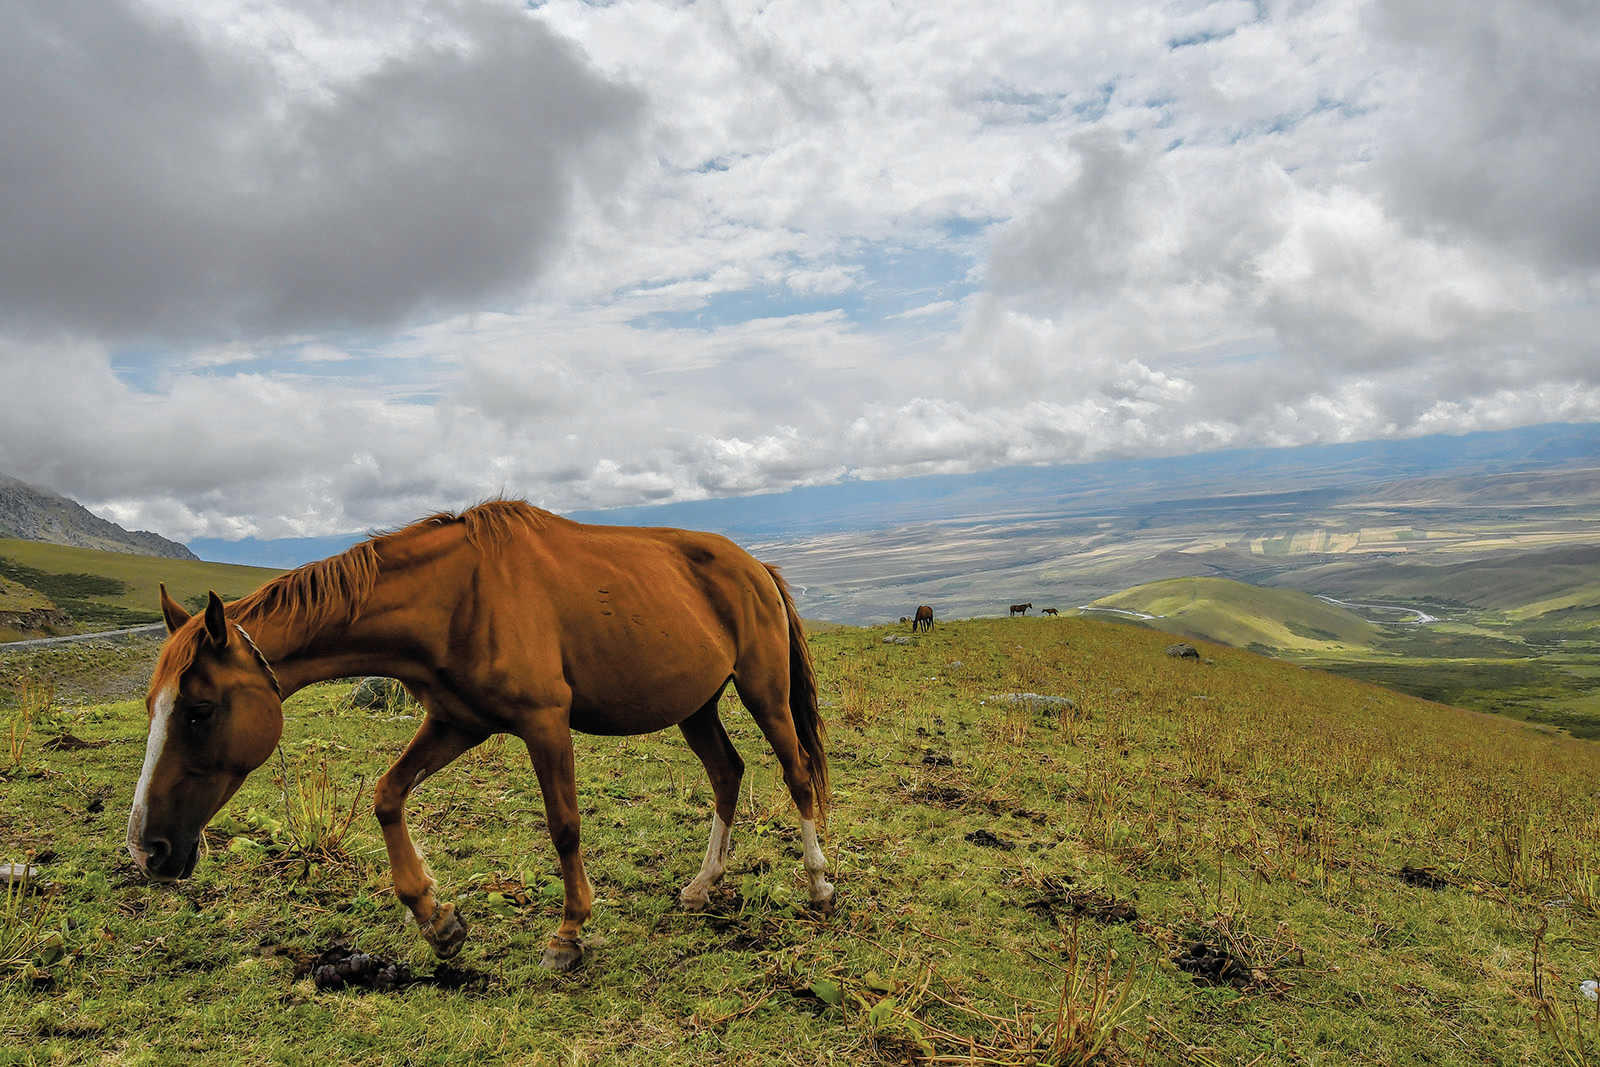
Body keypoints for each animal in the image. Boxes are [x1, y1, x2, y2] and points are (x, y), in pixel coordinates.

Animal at [126, 501, 833, 972]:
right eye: (155, 706)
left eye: (198, 710)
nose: (148, 850)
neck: (457, 598)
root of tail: (755, 566)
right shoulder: (456, 722)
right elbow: (388, 795)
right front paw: (437, 921)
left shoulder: (544, 720)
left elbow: (564, 825)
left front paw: (569, 934)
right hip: (697, 704)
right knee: (727, 773)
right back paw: (704, 885)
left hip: (762, 691)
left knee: (796, 772)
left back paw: (820, 885)